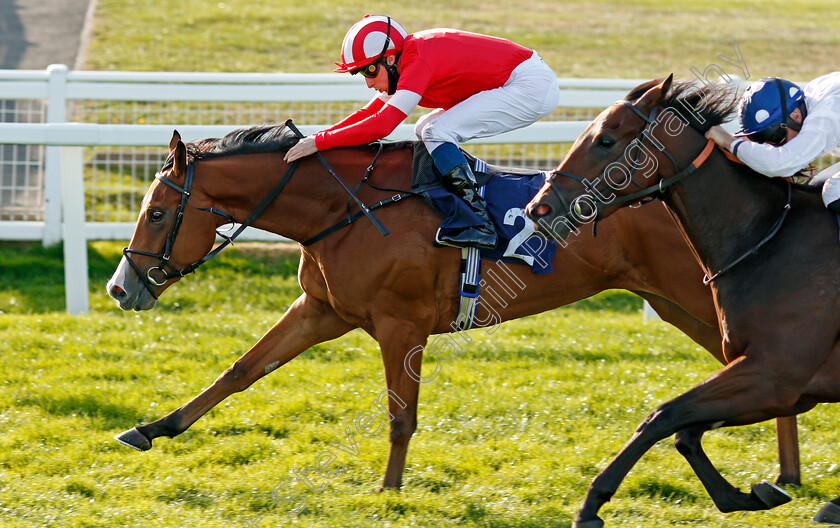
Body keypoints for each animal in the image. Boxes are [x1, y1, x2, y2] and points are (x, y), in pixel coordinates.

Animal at [108, 124, 796, 496]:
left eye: (159, 212)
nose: (121, 288)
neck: (347, 208)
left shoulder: (400, 324)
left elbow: (400, 416)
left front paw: (388, 491)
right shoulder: (321, 309)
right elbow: (241, 370)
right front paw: (152, 427)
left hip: (695, 295)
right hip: (675, 302)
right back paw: (786, 474)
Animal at [524, 76, 840, 524]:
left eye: (605, 140)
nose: (539, 209)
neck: (766, 238)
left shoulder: (774, 375)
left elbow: (661, 416)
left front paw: (591, 504)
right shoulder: (786, 388)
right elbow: (684, 431)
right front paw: (746, 496)